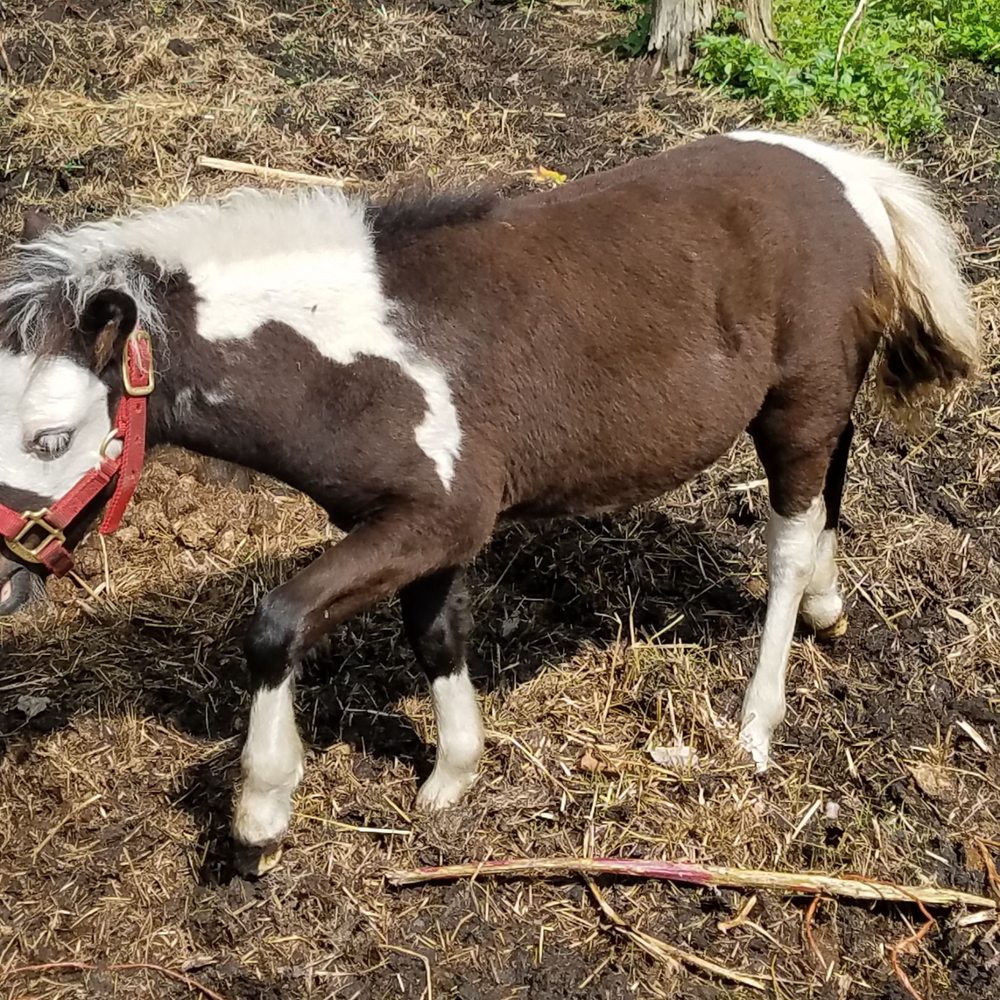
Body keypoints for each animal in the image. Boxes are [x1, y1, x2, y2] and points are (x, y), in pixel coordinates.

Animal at [0, 131, 978, 873]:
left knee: (786, 544)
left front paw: (262, 814)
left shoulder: (439, 516)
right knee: (831, 493)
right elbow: (436, 633)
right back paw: (827, 607)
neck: (343, 353)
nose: (6, 584)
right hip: (823, 402)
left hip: (799, 402)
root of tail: (846, 171)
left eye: (51, 438)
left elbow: (277, 624)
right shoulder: (418, 527)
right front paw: (453, 775)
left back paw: (755, 724)